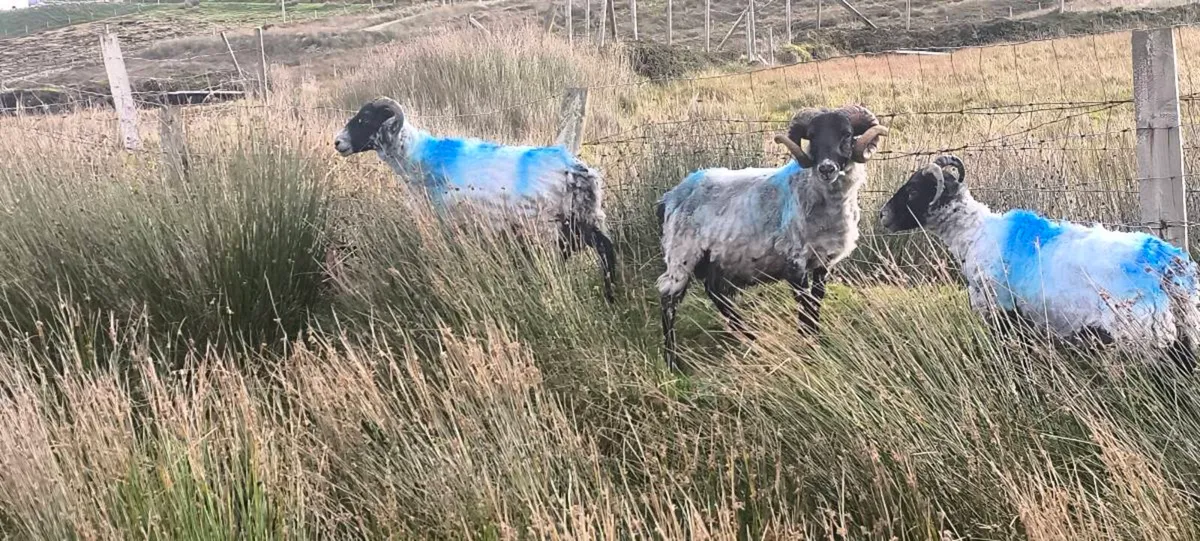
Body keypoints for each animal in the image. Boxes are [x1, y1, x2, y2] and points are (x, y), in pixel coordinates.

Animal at [333, 97, 617, 303]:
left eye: (364, 119)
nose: (337, 142)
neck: (419, 159)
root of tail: (577, 171)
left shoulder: (448, 226)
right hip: (584, 219)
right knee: (606, 249)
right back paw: (611, 295)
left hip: (546, 229)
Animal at [655, 105, 889, 369]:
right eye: (812, 136)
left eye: (847, 134)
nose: (826, 168)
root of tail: (671, 196)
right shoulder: (795, 261)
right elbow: (804, 303)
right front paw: (809, 345)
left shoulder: (823, 262)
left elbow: (816, 301)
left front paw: (815, 340)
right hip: (681, 255)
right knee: (668, 300)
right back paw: (672, 362)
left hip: (717, 258)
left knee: (715, 293)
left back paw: (750, 337)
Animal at [878, 155, 1200, 372]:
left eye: (913, 191)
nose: (882, 216)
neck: (975, 233)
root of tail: (1168, 266)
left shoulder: (1003, 315)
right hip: (1184, 333)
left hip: (1144, 339)